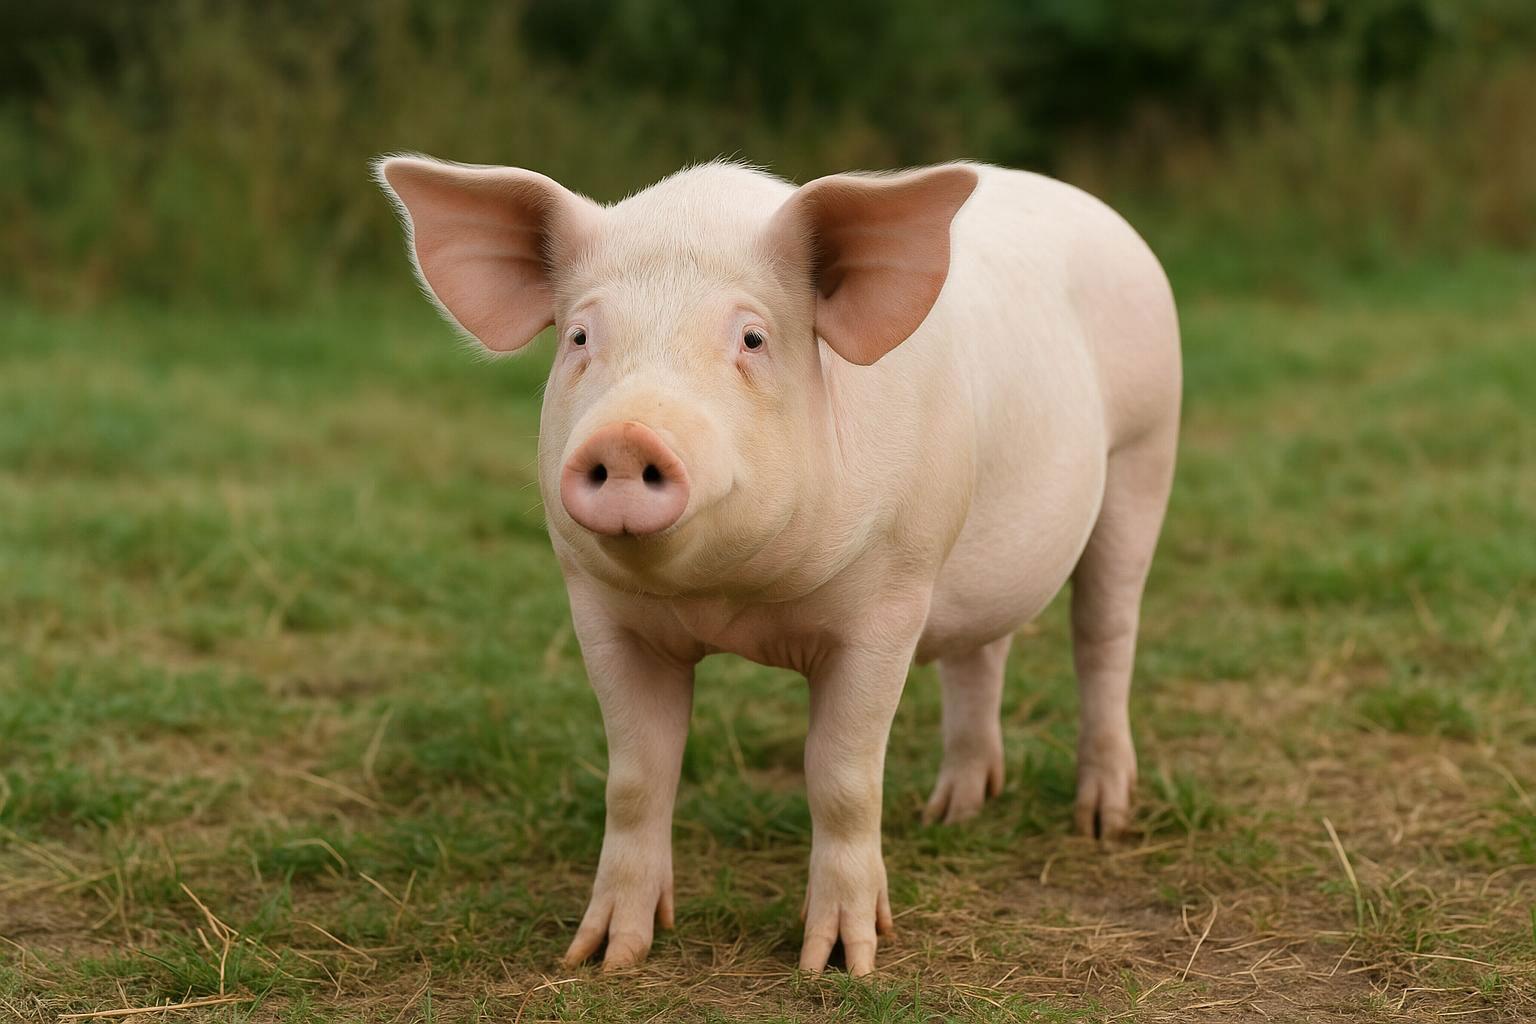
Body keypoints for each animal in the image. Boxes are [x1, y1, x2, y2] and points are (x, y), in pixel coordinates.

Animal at [375, 154, 1181, 975]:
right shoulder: (601, 612)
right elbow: (636, 776)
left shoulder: (890, 601)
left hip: (1147, 449)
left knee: (1104, 635)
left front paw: (839, 963)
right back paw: (951, 814)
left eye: (753, 338)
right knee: (980, 653)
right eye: (578, 336)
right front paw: (604, 958)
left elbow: (841, 778)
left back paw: (1101, 820)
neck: (730, 602)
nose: (628, 436)